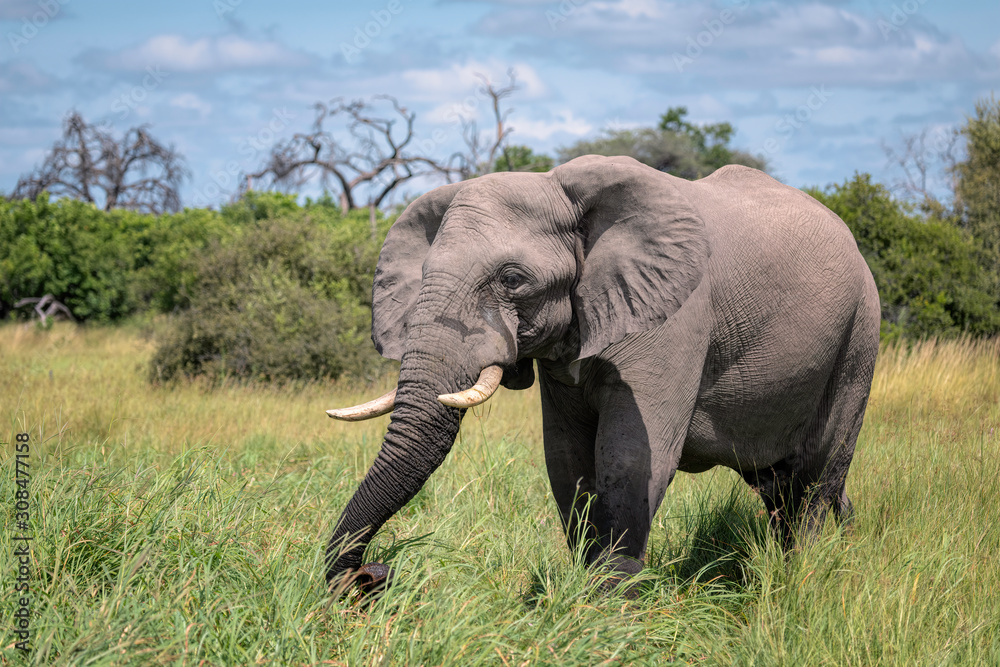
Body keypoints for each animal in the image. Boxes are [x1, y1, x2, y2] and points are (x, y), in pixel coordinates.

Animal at [324, 155, 880, 588]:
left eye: (512, 280)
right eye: (422, 277)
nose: (372, 575)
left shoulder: (676, 318)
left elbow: (631, 457)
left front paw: (608, 607)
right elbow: (567, 460)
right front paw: (584, 595)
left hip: (859, 337)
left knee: (817, 476)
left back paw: (807, 574)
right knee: (780, 487)